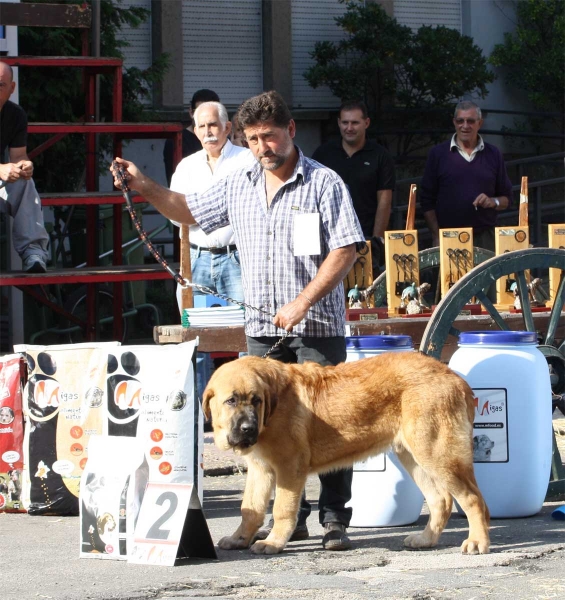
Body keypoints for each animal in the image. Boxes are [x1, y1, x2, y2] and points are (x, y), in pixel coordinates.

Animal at [203, 354, 490, 556]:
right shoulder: (260, 469)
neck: (273, 407)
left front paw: (272, 542)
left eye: (256, 400)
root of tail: (454, 377)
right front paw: (239, 539)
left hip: (437, 454)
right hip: (413, 456)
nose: (248, 429)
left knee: (472, 499)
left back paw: (477, 542)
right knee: (441, 500)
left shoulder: (289, 467)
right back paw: (425, 539)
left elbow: (283, 509)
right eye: (231, 401)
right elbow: (250, 509)